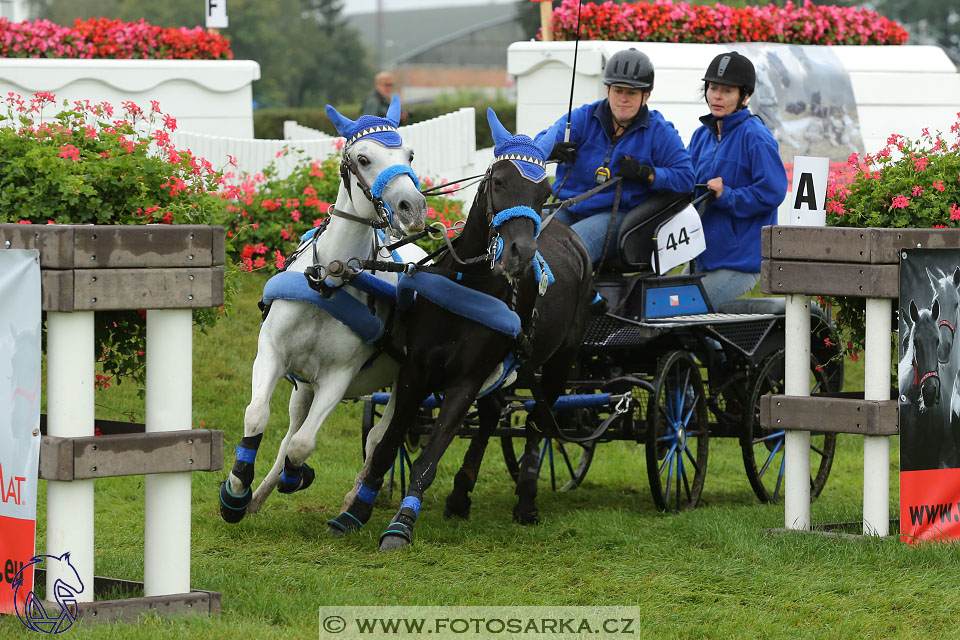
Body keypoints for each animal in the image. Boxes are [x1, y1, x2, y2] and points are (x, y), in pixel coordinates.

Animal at [219, 97, 430, 524]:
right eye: (363, 158)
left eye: (409, 155)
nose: (412, 208)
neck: (331, 278)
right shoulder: (272, 353)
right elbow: (257, 415)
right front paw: (236, 489)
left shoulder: (338, 377)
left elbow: (303, 445)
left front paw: (297, 476)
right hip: (303, 384)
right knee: (291, 427)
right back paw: (259, 494)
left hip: (406, 379)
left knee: (379, 436)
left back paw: (352, 499)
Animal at [334, 110, 596, 552]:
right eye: (499, 181)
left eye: (544, 191)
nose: (520, 253)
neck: (471, 283)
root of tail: (569, 236)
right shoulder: (416, 371)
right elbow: (387, 445)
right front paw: (355, 512)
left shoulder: (466, 381)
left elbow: (428, 458)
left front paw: (401, 525)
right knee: (493, 414)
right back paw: (460, 494)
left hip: (559, 360)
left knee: (539, 423)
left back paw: (526, 499)